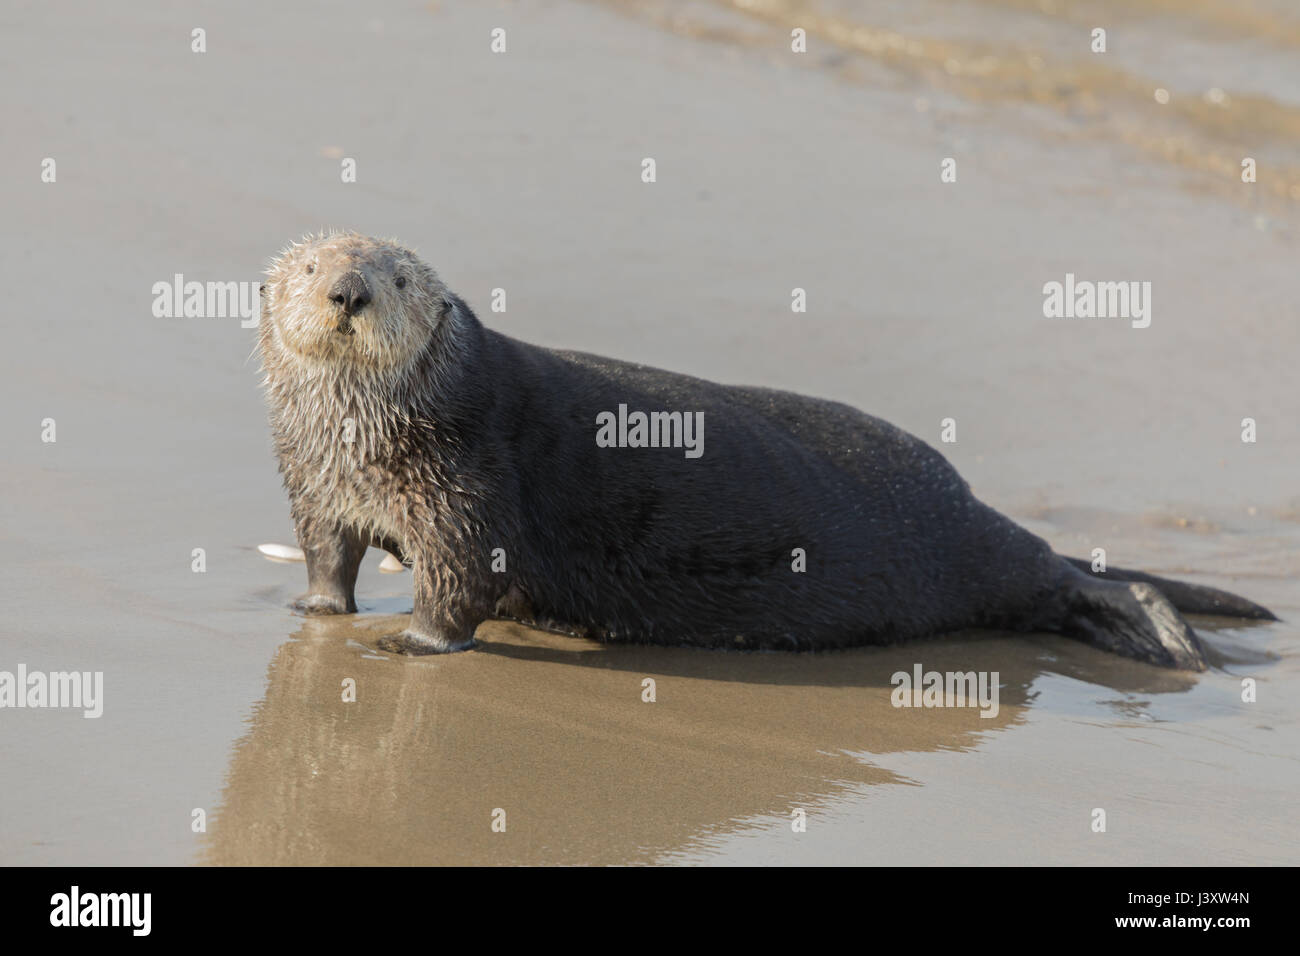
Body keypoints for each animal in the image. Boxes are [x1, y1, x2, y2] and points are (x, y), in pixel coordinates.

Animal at [258, 231, 1275, 669]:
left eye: (395, 277)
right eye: (310, 267)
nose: (347, 291)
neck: (362, 451)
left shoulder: (467, 485)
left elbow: (462, 579)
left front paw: (409, 639)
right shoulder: (315, 489)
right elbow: (325, 554)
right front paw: (313, 608)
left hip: (965, 552)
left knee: (1074, 578)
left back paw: (1165, 641)